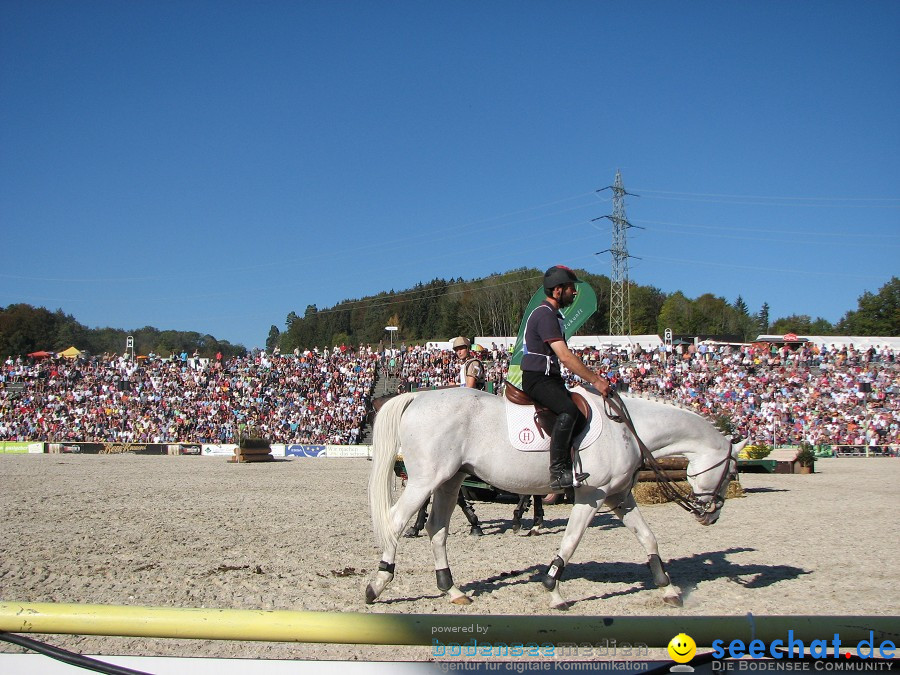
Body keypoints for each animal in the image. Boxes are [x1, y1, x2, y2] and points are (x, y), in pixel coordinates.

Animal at [366, 386, 744, 612]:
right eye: (732, 471)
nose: (711, 515)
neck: (627, 429)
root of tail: (417, 397)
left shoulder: (620, 496)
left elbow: (648, 537)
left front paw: (668, 589)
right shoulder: (593, 496)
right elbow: (572, 539)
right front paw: (553, 589)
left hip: (450, 480)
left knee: (437, 529)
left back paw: (451, 589)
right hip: (425, 481)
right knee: (396, 522)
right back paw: (377, 584)